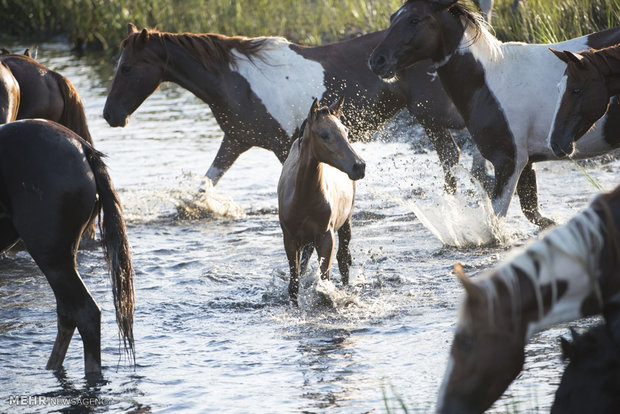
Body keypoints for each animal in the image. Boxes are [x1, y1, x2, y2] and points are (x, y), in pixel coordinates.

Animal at [104, 21, 464, 192]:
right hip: (430, 119)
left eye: (127, 68)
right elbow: (204, 186)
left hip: (435, 112)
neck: (237, 80)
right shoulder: (235, 141)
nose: (110, 115)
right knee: (450, 157)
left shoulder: (282, 145)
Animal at [280, 98, 366, 304]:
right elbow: (294, 283)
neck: (302, 198)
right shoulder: (290, 240)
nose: (359, 166)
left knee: (342, 260)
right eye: (324, 135)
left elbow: (324, 279)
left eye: (346, 131)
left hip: (345, 224)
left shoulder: (326, 237)